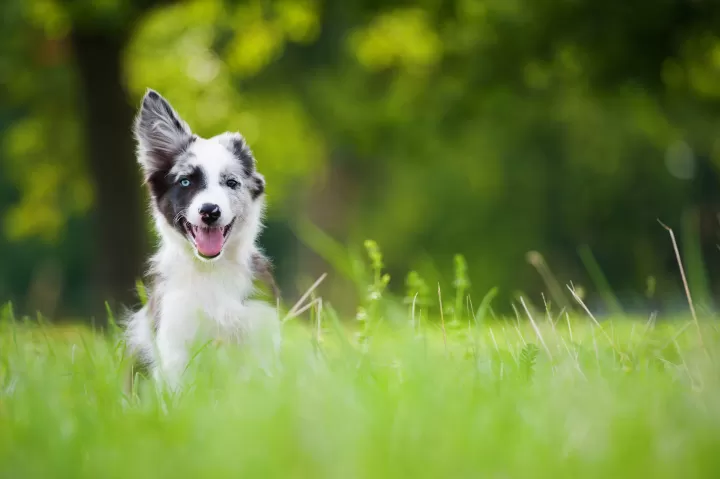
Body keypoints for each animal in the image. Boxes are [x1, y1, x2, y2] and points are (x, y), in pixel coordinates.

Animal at [125, 89, 280, 390]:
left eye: (231, 183)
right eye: (185, 182)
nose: (210, 211)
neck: (211, 271)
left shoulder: (262, 335)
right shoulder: (173, 344)